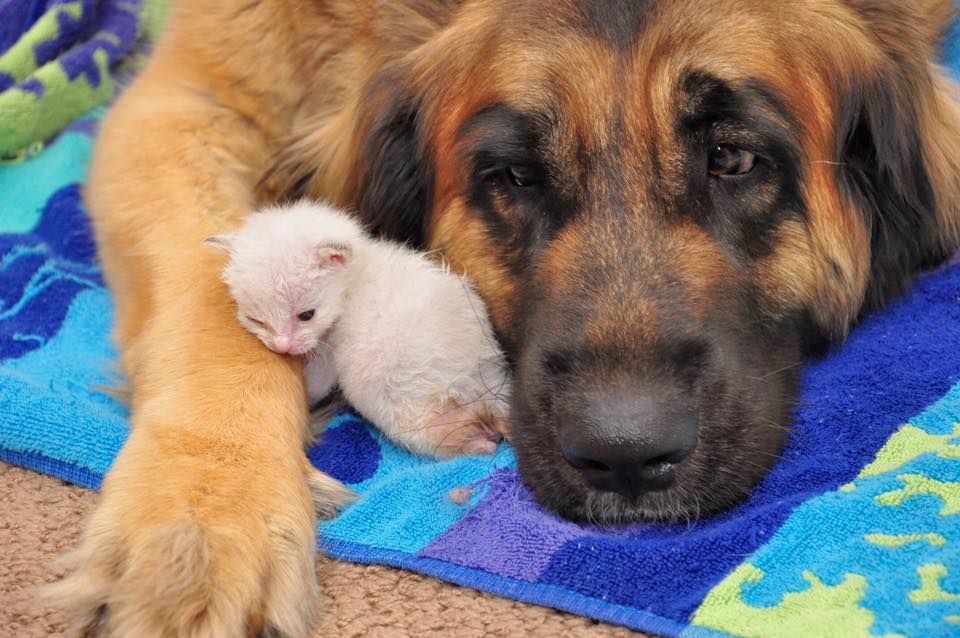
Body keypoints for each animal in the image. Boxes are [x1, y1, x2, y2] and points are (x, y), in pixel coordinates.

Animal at [207, 202, 512, 458]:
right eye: (256, 320)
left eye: (306, 315)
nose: (282, 347)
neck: (353, 282)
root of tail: (471, 384)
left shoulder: (331, 351)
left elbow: (316, 383)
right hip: (495, 375)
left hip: (391, 401)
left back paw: (475, 443)